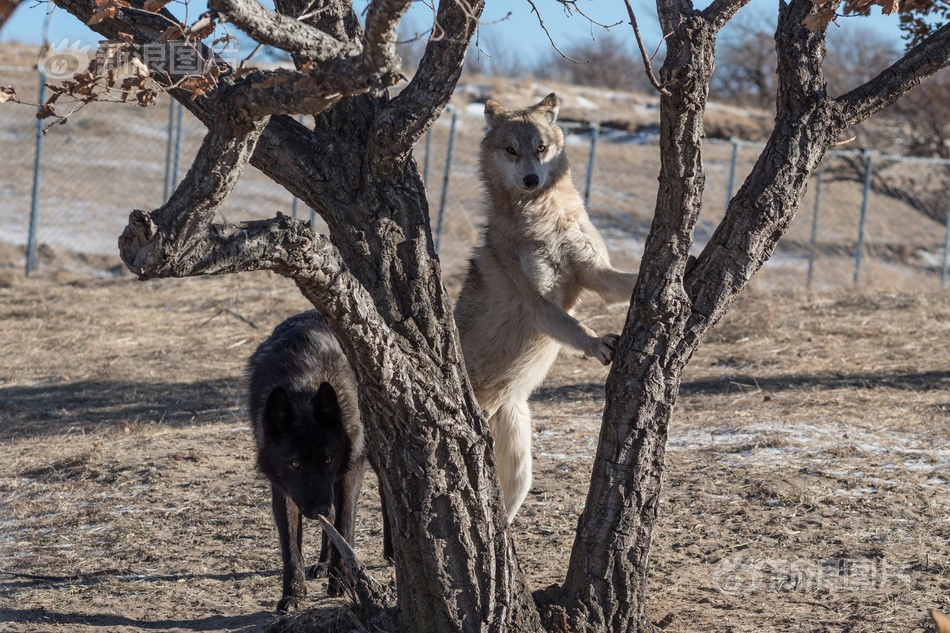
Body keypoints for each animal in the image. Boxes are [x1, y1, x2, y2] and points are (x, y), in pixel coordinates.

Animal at [247, 308, 392, 608]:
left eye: (327, 460)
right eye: (295, 464)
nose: (317, 511)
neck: (304, 382)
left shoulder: (349, 470)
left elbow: (345, 524)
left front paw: (341, 582)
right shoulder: (284, 488)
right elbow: (291, 546)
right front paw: (293, 594)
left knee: (385, 491)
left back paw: (391, 550)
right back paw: (323, 563)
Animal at [456, 92, 636, 520]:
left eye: (541, 149)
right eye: (511, 150)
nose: (531, 180)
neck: (545, 219)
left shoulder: (598, 275)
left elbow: (627, 279)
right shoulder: (542, 305)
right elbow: (576, 327)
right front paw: (599, 345)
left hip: (521, 466)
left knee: (504, 509)